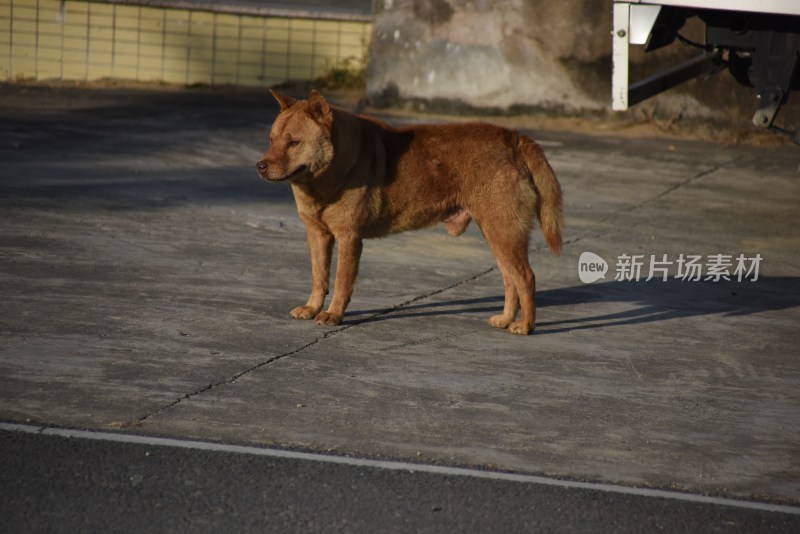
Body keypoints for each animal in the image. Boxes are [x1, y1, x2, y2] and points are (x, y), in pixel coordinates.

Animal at [256, 91, 564, 336]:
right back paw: (506, 319)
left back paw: (525, 326)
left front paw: (332, 314)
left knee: (526, 278)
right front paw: (311, 307)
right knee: (510, 279)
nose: (260, 166)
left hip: (503, 233)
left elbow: (342, 282)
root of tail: (514, 138)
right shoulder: (317, 235)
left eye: (293, 142)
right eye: (271, 139)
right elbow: (318, 275)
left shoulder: (349, 238)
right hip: (498, 234)